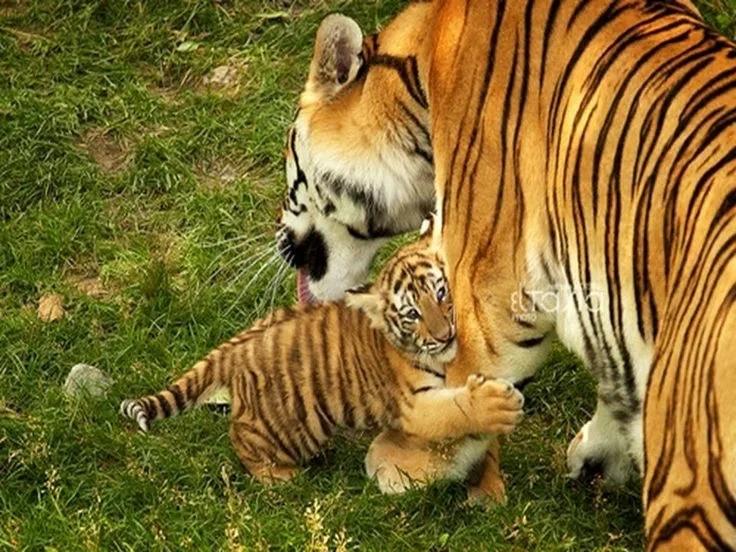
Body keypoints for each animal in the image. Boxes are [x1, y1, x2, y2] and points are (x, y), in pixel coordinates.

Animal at [120, 237, 524, 488]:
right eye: (412, 314)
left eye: (441, 293)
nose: (445, 335)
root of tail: (234, 349)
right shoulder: (411, 405)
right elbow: (451, 411)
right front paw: (496, 405)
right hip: (293, 426)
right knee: (241, 440)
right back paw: (279, 477)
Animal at [275, 1, 736, 548]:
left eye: (288, 150)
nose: (280, 243)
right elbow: (613, 376)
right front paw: (598, 456)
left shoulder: (486, 300)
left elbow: (453, 398)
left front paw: (401, 463)